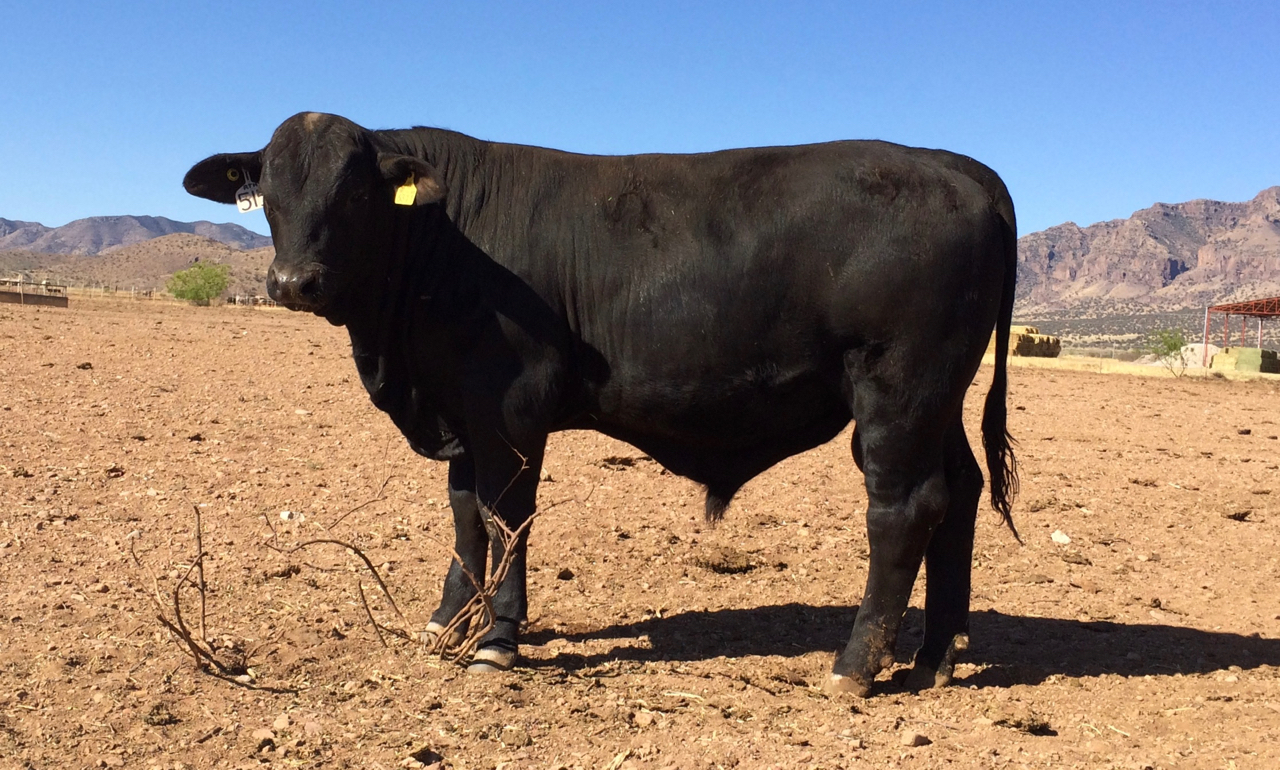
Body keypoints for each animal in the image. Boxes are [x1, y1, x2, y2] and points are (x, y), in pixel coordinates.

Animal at [184, 112, 1018, 696]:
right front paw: (446, 624)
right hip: (936, 402)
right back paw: (934, 657)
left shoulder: (511, 409)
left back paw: (853, 666)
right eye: (269, 195)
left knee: (903, 509)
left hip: (897, 392)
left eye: (354, 191)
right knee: (959, 495)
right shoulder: (460, 412)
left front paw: (497, 641)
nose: (293, 282)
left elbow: (506, 516)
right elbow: (464, 515)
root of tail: (951, 164)